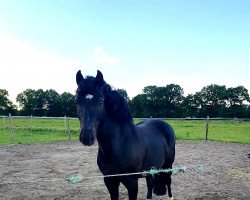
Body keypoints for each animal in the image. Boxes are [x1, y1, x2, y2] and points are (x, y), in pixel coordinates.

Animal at [75, 69, 175, 199]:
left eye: (101, 101)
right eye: (77, 102)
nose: (87, 137)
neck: (120, 144)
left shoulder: (132, 182)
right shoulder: (110, 181)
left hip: (168, 167)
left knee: (168, 185)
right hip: (150, 170)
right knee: (150, 185)